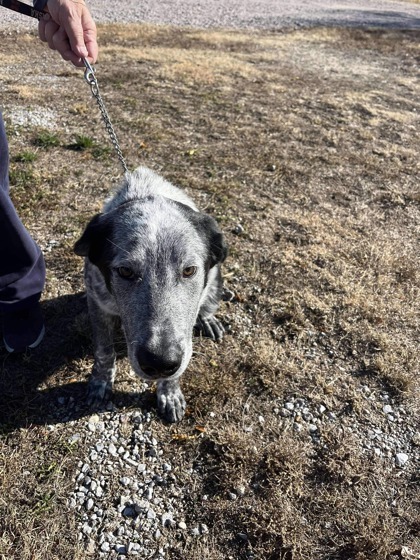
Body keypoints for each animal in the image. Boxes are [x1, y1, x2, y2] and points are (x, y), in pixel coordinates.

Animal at [74, 166, 228, 420]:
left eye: (189, 270)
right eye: (125, 271)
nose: (160, 363)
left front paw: (169, 392)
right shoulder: (97, 303)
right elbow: (104, 351)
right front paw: (101, 382)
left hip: (216, 282)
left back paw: (208, 319)